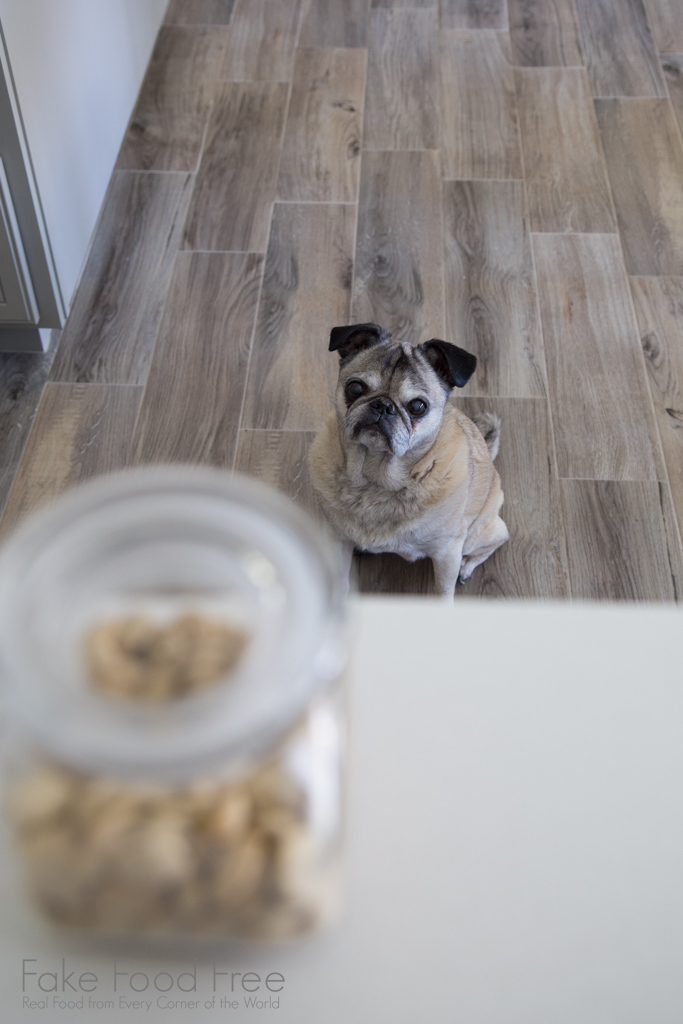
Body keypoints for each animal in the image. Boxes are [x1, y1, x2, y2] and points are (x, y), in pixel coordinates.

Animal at [309, 319, 507, 593]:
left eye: (417, 407)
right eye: (355, 388)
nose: (383, 405)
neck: (374, 482)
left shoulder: (447, 553)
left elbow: (443, 592)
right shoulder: (337, 540)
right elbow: (340, 580)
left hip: (476, 534)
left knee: (497, 539)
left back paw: (467, 566)